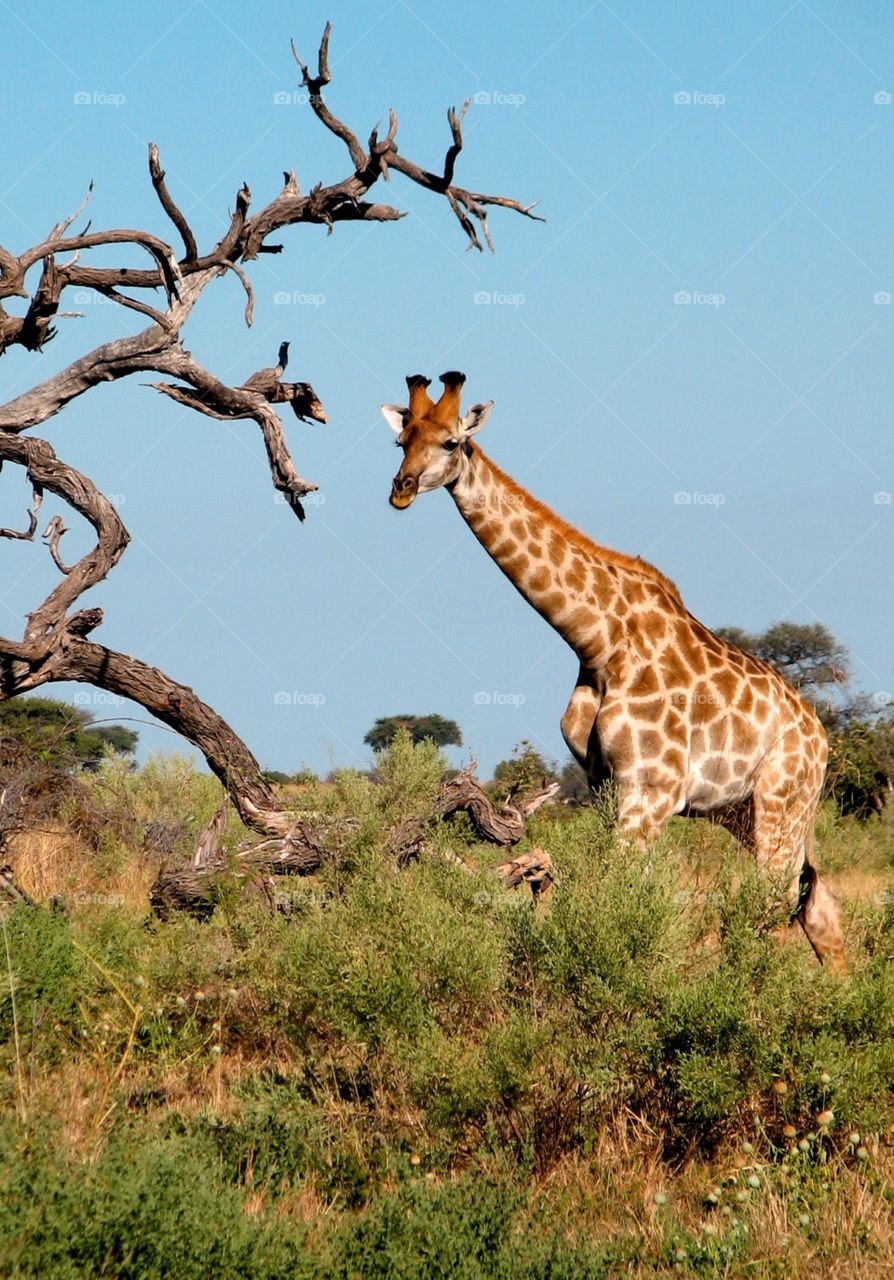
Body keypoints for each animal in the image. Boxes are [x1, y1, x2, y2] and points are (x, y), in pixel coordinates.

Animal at [382, 371, 846, 972]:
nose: (402, 488)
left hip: (781, 800)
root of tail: (820, 736)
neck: (598, 643)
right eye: (401, 441)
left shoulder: (651, 791)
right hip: (754, 811)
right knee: (819, 904)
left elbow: (619, 895)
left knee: (777, 899)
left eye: (451, 443)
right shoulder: (606, 786)